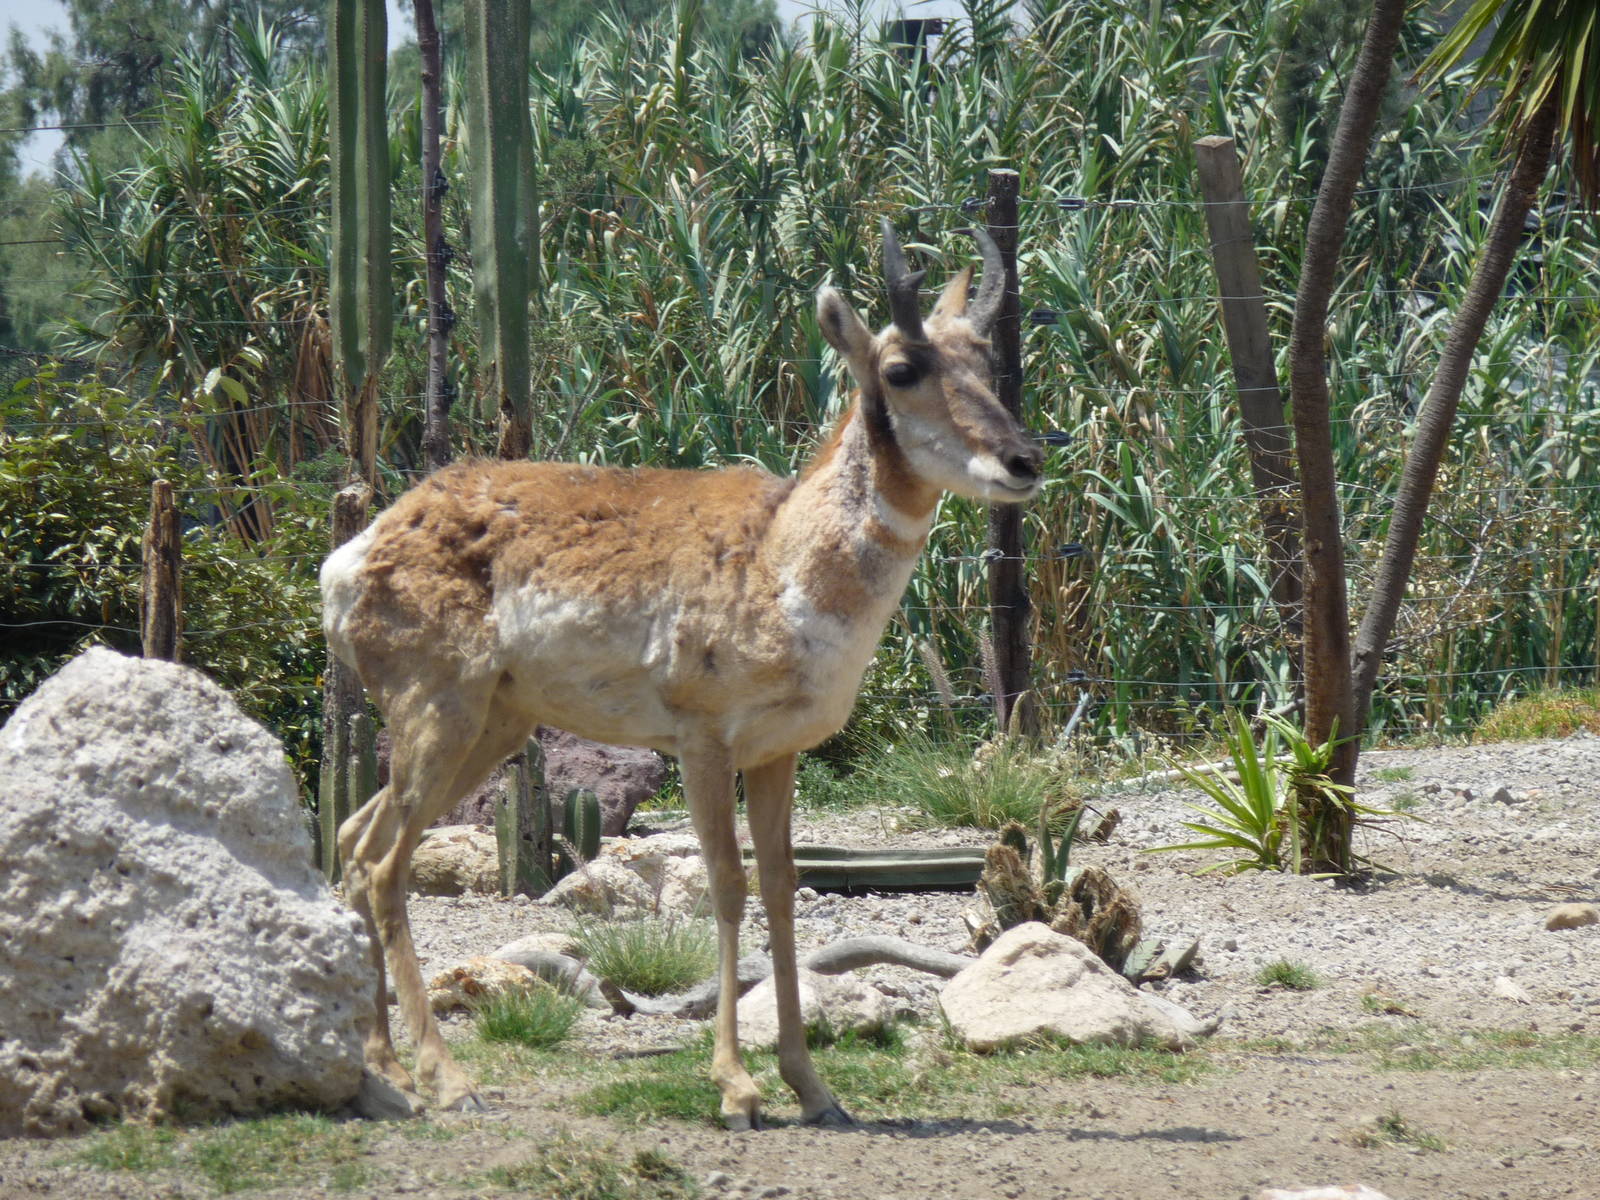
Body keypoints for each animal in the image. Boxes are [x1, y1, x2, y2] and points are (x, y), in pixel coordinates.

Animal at [320, 220, 1043, 1128]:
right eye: (902, 368)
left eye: (988, 358)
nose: (1024, 459)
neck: (779, 559)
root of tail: (359, 548)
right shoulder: (702, 739)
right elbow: (727, 884)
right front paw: (737, 1087)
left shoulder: (777, 751)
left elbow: (782, 886)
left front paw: (814, 1089)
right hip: (437, 711)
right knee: (385, 864)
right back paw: (449, 1080)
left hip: (491, 725)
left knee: (356, 839)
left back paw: (383, 1067)